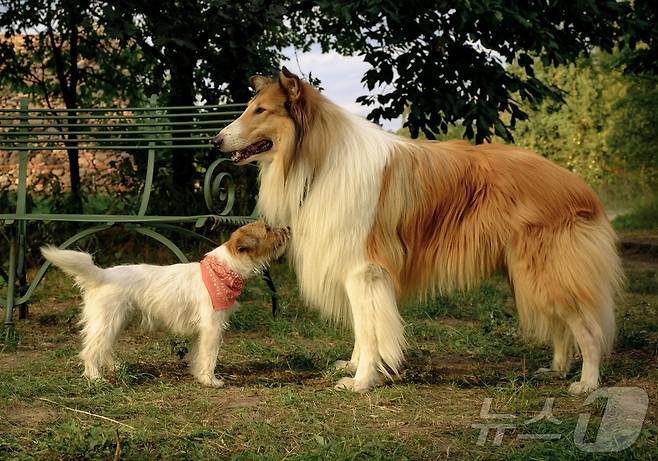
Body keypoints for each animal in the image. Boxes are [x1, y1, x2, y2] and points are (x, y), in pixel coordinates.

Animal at [40, 221, 288, 386]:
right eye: (267, 229)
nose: (287, 229)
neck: (222, 270)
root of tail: (102, 274)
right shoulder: (212, 327)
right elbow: (209, 356)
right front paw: (210, 380)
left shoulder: (202, 330)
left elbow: (198, 354)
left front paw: (198, 375)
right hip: (107, 322)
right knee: (91, 351)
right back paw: (95, 377)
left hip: (115, 322)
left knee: (104, 347)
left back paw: (114, 367)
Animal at [214, 68, 620, 396]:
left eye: (260, 111)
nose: (215, 141)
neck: (321, 159)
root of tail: (578, 185)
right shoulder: (355, 269)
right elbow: (362, 327)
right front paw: (354, 366)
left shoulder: (363, 269)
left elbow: (370, 329)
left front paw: (361, 382)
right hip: (527, 273)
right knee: (562, 326)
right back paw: (556, 369)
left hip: (545, 272)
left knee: (588, 330)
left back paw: (586, 383)